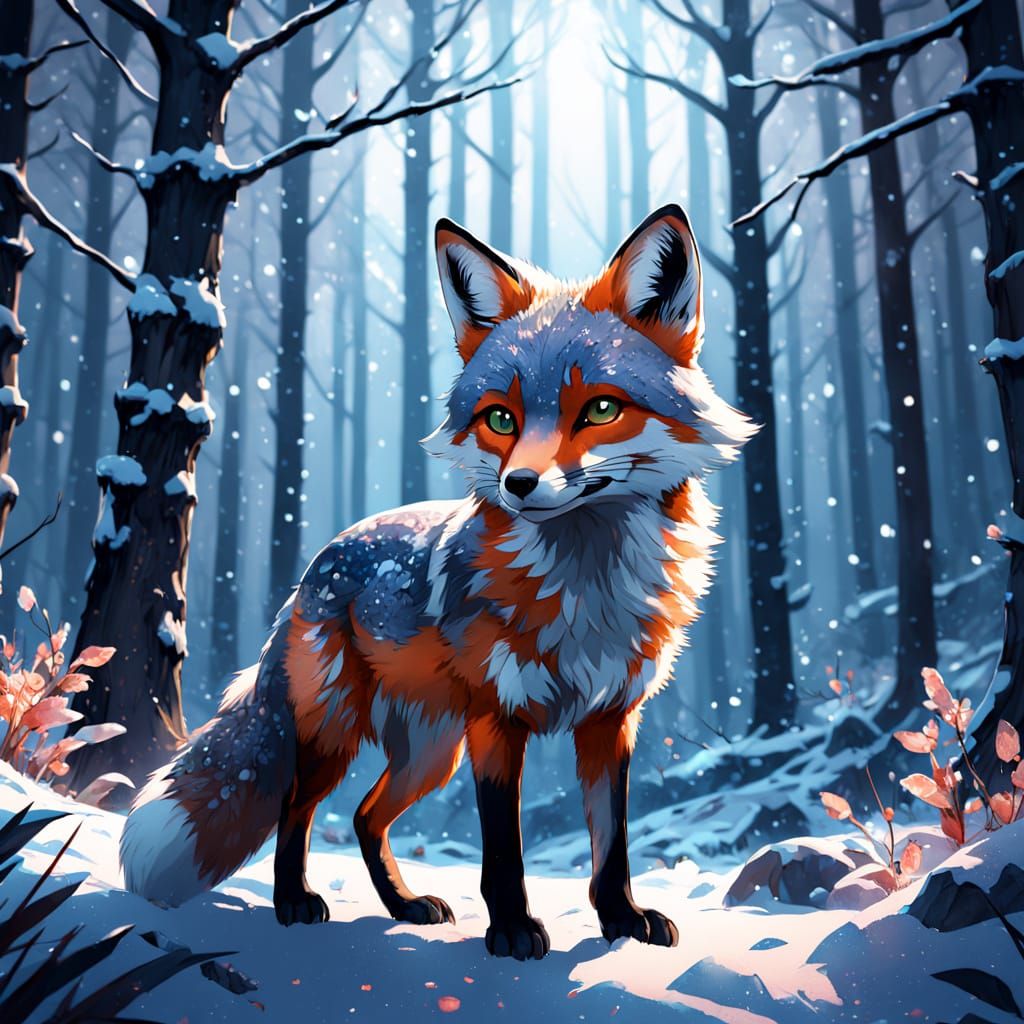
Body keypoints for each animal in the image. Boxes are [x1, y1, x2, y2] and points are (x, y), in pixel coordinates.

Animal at [120, 204, 754, 960]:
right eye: (500, 418)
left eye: (600, 410)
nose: (519, 484)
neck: (584, 592)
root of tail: (317, 563)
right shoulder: (495, 721)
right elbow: (504, 848)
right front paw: (512, 930)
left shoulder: (611, 719)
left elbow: (613, 841)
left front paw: (622, 921)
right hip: (342, 733)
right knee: (296, 806)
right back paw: (293, 902)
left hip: (429, 754)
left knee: (365, 816)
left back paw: (402, 905)